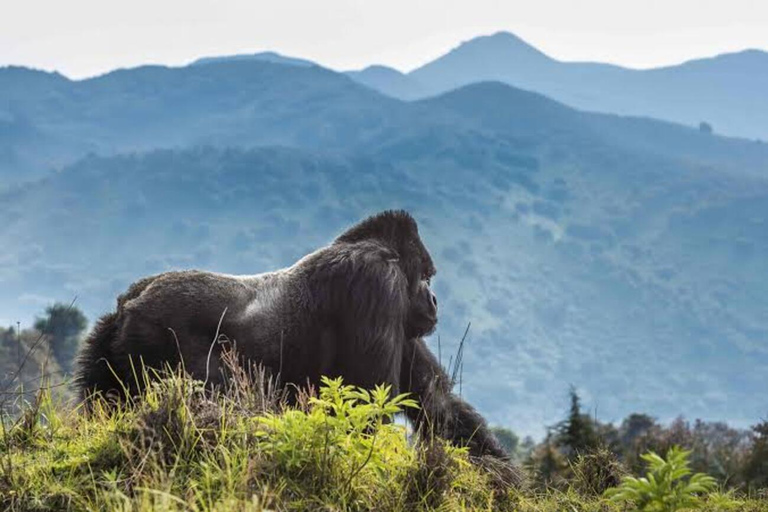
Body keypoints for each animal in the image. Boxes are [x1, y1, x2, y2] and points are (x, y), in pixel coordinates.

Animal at [76, 208, 510, 460]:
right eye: (427, 277)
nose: (434, 300)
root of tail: (127, 302)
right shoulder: (377, 284)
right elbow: (367, 403)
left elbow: (437, 404)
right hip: (151, 333)